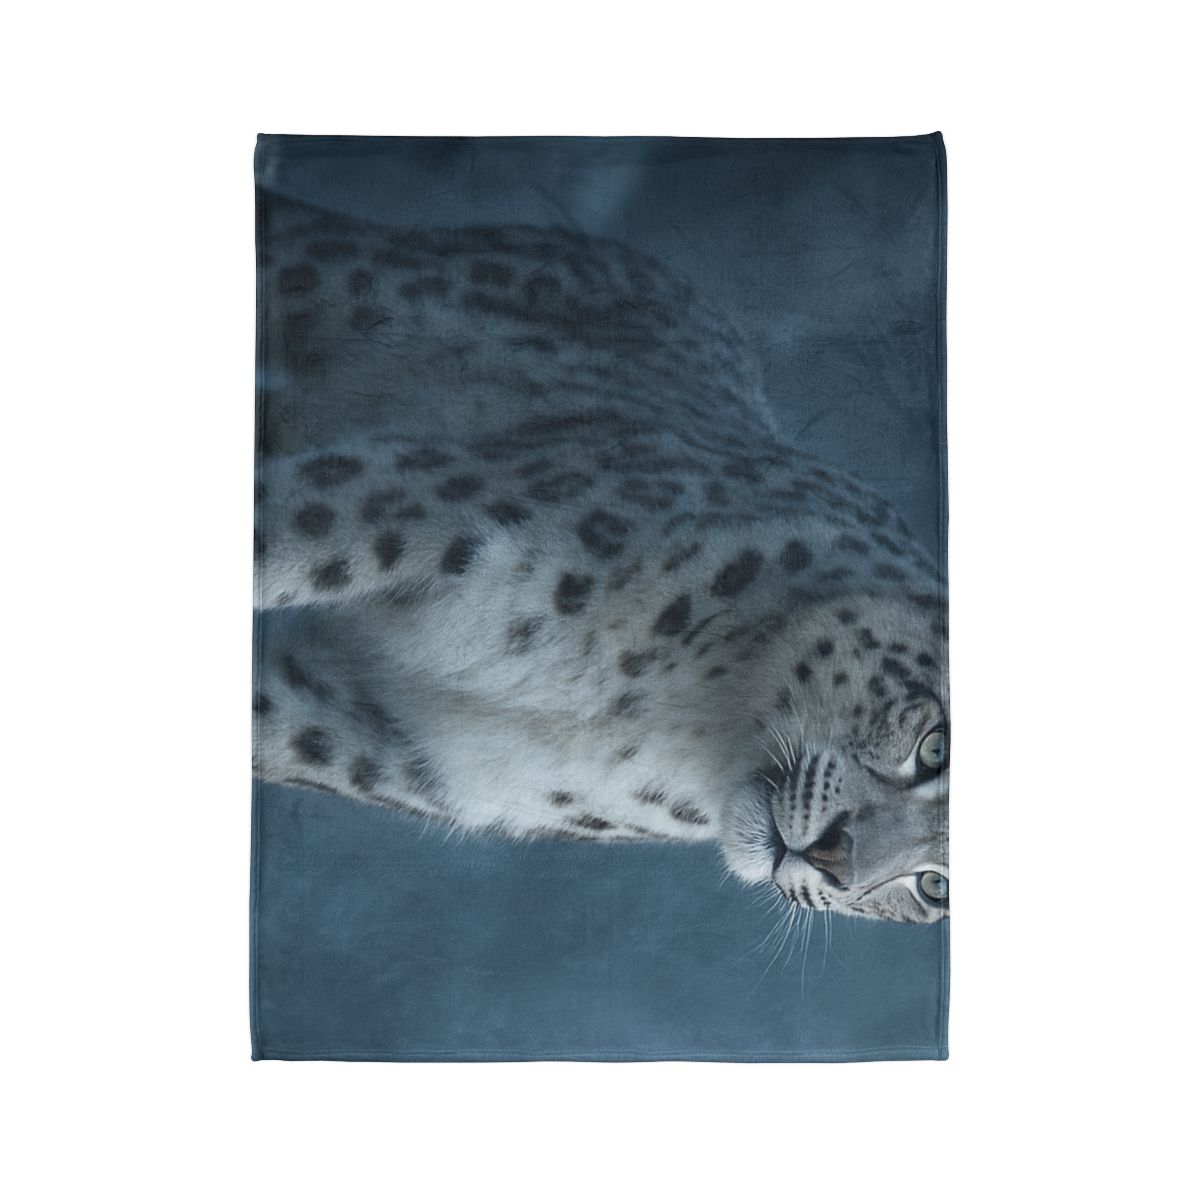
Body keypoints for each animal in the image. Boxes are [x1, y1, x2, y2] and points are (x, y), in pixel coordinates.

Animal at [253, 193, 949, 924]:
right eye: (936, 746)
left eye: (935, 887)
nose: (834, 859)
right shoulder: (431, 501)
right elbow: (279, 537)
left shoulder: (377, 737)